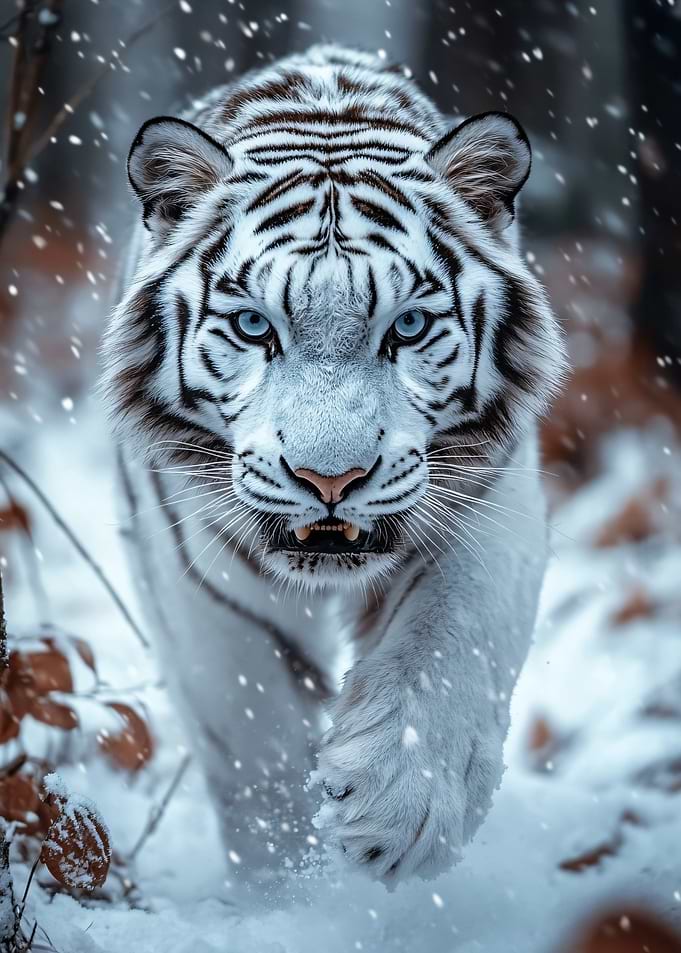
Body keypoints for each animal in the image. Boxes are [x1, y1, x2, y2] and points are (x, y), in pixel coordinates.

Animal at [100, 44, 565, 897]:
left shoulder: (490, 502)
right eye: (254, 325)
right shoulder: (189, 567)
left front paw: (397, 812)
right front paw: (286, 890)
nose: (330, 480)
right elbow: (250, 730)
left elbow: (449, 640)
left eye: (406, 326)